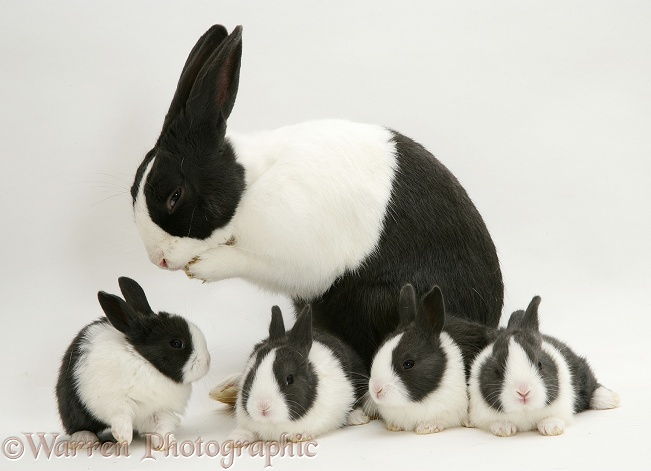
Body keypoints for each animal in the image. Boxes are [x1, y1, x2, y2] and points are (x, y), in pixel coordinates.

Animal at [56, 278, 210, 448]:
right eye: (176, 343)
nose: (207, 362)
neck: (146, 363)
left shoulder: (159, 410)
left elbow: (161, 427)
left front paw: (167, 444)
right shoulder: (115, 401)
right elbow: (121, 418)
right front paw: (123, 438)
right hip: (71, 405)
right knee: (78, 424)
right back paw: (85, 439)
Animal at [129, 24, 504, 366]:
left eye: (175, 196)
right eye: (134, 189)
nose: (158, 260)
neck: (251, 187)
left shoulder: (298, 258)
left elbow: (249, 261)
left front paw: (206, 266)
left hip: (376, 300)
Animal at [229, 304, 372, 444]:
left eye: (289, 379)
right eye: (252, 375)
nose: (263, 407)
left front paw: (300, 436)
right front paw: (235, 439)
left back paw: (358, 418)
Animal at [466, 296, 620, 436]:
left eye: (539, 364)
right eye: (497, 371)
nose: (523, 392)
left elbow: (553, 417)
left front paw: (551, 426)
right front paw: (503, 428)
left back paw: (610, 399)